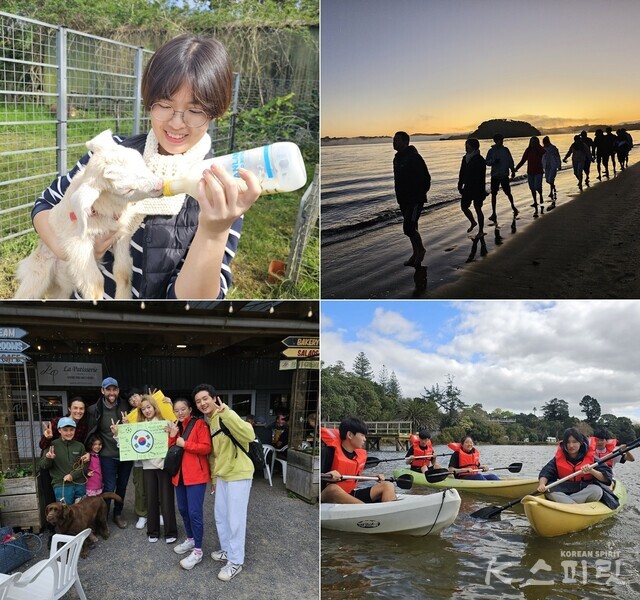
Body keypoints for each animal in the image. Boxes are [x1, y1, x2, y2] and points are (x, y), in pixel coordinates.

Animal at [16, 131, 165, 300]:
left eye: (139, 159)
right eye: (126, 190)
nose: (160, 185)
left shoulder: (120, 236)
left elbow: (123, 272)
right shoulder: (78, 245)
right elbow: (95, 284)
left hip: (62, 290)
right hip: (38, 274)